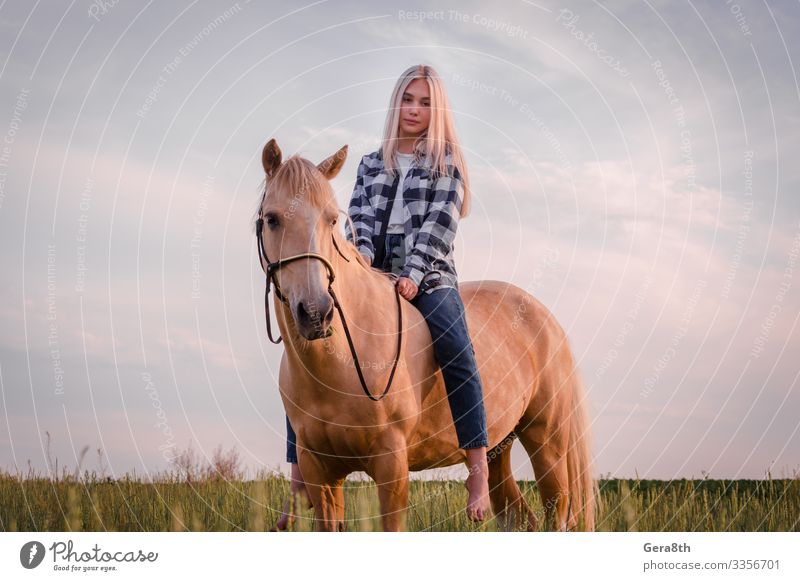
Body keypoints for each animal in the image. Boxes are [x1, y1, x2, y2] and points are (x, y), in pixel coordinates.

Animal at [253, 137, 596, 532]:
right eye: (272, 219)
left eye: (332, 220)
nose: (316, 313)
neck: (342, 361)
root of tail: (548, 320)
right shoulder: (319, 472)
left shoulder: (391, 465)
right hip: (500, 448)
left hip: (547, 443)